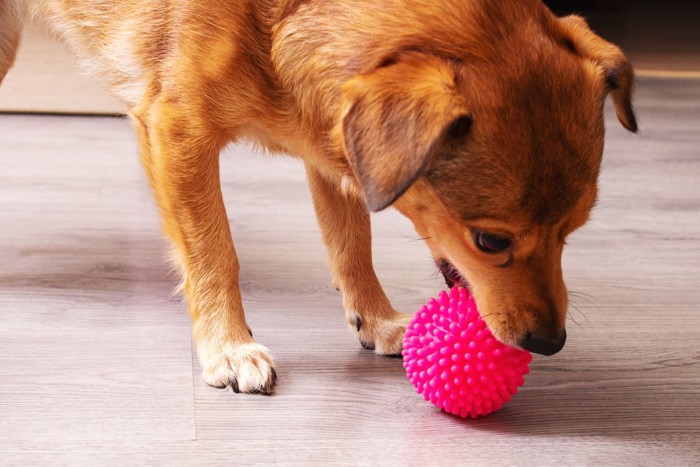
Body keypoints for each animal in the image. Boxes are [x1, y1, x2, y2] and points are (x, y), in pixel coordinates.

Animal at [0, 0, 636, 394]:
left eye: (573, 230)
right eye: (490, 241)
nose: (549, 344)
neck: (282, 16)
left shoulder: (330, 148)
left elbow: (352, 245)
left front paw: (374, 318)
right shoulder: (179, 131)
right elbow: (215, 254)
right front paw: (228, 346)